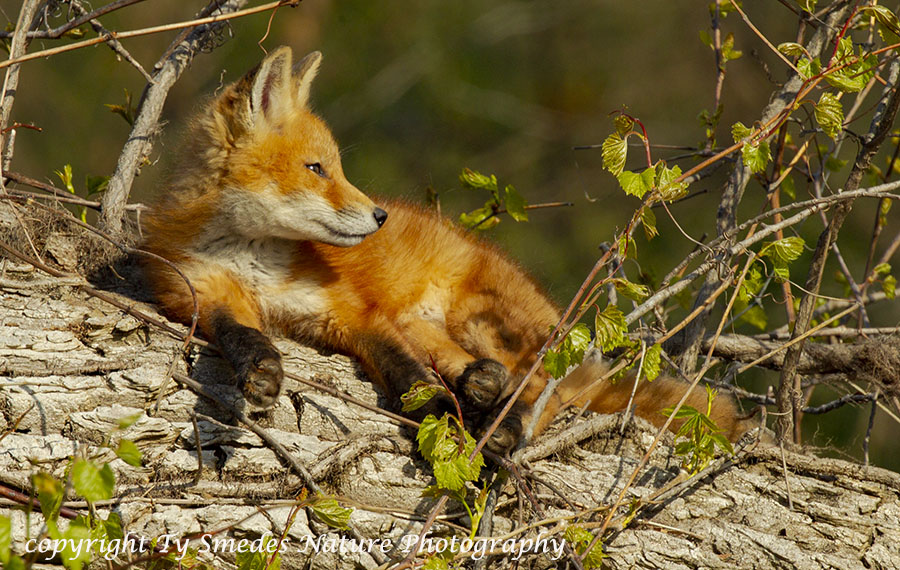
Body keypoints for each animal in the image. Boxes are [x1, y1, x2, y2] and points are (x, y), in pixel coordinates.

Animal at [142, 47, 749, 455]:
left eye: (335, 166)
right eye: (316, 169)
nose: (379, 216)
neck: (256, 260)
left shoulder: (354, 314)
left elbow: (409, 380)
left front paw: (438, 421)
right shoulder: (202, 293)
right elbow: (240, 336)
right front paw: (261, 371)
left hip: (485, 322)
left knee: (543, 394)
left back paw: (501, 425)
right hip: (430, 326)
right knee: (493, 377)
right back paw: (481, 392)